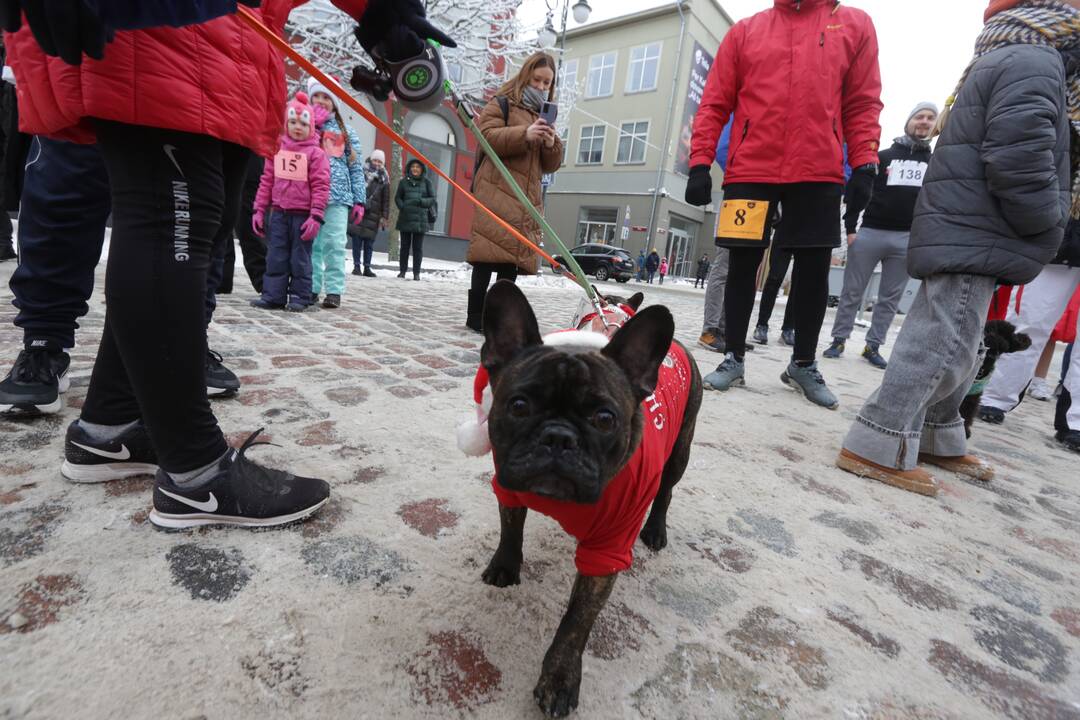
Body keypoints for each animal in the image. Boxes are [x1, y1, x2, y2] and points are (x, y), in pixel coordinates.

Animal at [479, 280, 699, 716]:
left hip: (679, 452)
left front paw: (558, 679)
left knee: (666, 491)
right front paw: (504, 567)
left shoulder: (608, 550)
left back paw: (656, 530)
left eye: (604, 418)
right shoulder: (508, 486)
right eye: (518, 405)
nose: (558, 437)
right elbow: (511, 529)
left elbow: (576, 620)